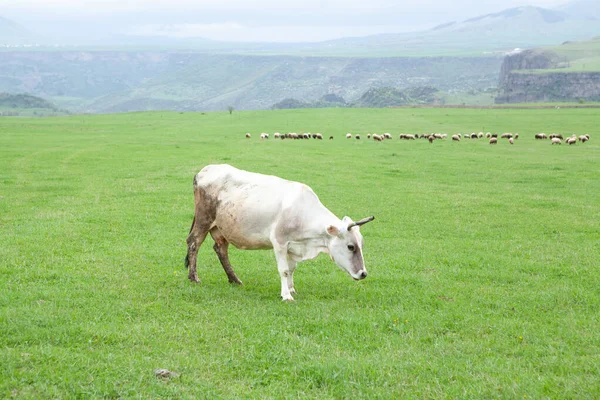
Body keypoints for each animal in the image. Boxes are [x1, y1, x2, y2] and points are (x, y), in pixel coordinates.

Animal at [185, 165, 372, 300]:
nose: (363, 273)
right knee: (194, 243)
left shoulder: (293, 245)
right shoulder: (280, 242)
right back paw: (194, 277)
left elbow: (292, 268)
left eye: (361, 245)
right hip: (204, 220)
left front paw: (291, 288)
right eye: (350, 247)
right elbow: (284, 270)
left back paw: (234, 279)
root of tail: (204, 170)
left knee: (220, 249)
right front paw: (286, 295)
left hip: (220, 228)